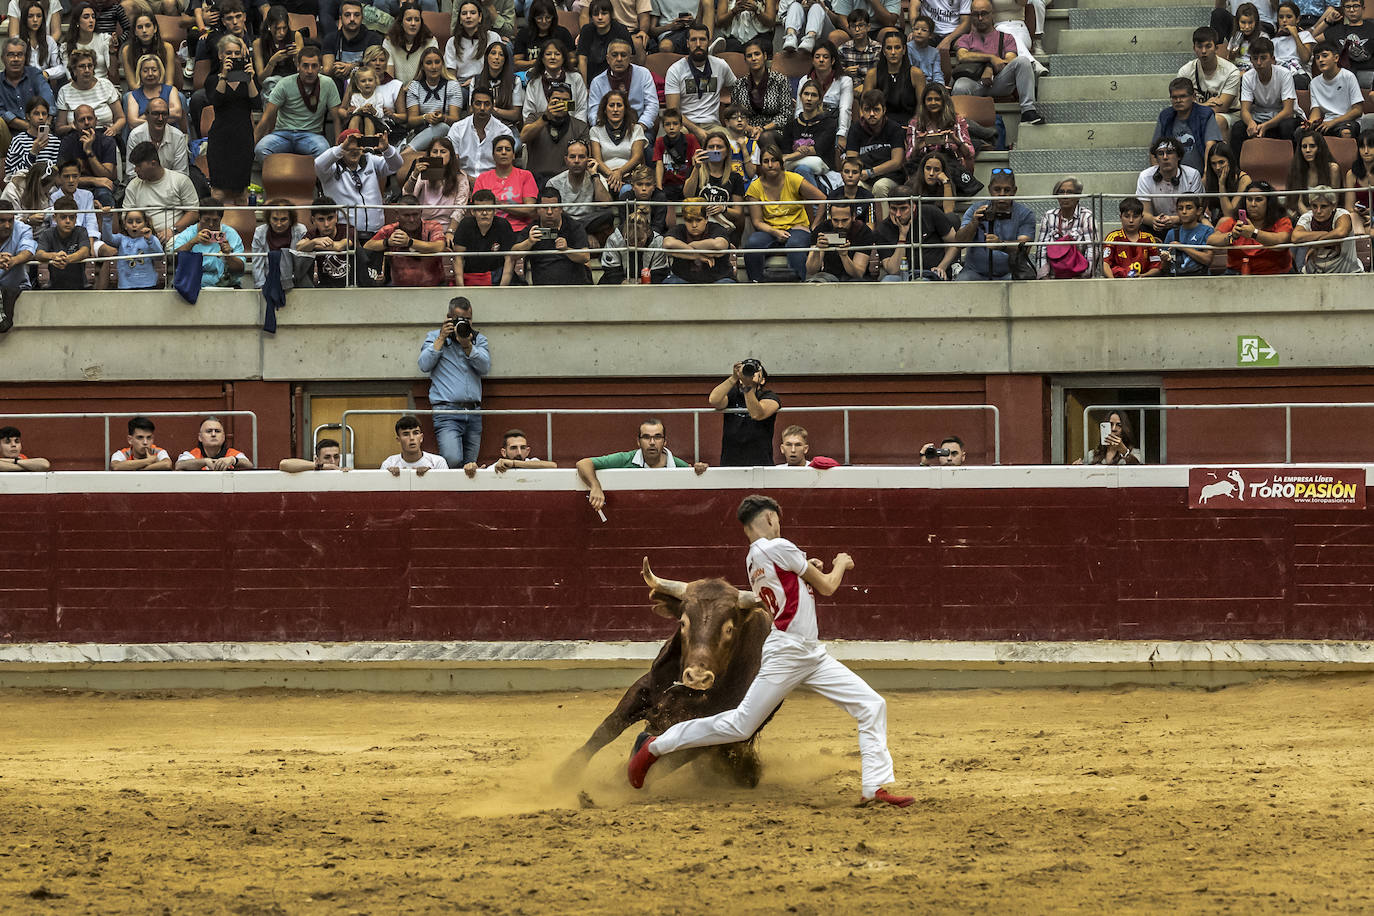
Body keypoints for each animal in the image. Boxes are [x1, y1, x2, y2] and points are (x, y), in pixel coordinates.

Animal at [555, 560, 774, 791]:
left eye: (729, 629)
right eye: (683, 623)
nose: (697, 677)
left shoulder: (712, 729)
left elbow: (666, 762)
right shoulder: (645, 688)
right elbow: (607, 728)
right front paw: (565, 773)